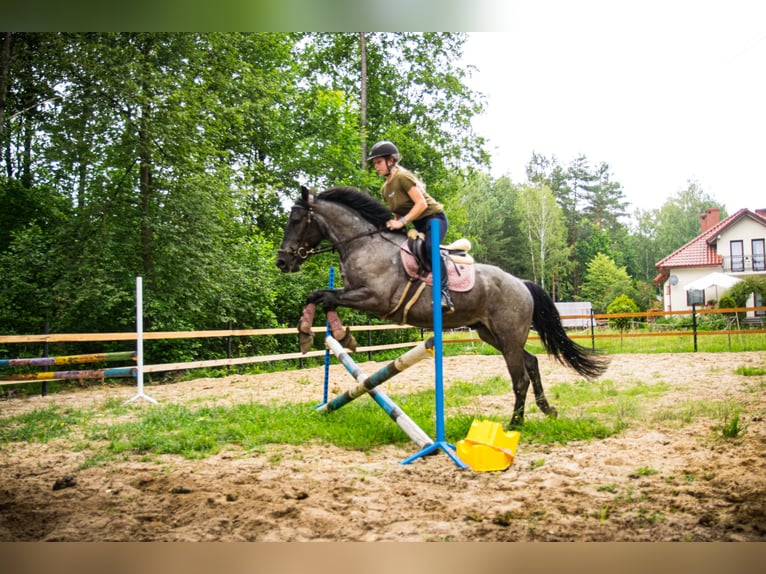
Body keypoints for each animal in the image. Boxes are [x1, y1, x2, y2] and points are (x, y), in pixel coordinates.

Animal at [278, 186, 612, 428]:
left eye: (296, 220)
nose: (282, 262)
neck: (364, 243)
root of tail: (520, 283)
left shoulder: (374, 298)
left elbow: (326, 298)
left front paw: (335, 335)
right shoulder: (354, 292)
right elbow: (317, 296)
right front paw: (311, 334)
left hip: (508, 335)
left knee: (520, 378)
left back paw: (514, 424)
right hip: (491, 334)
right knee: (531, 363)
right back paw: (546, 410)